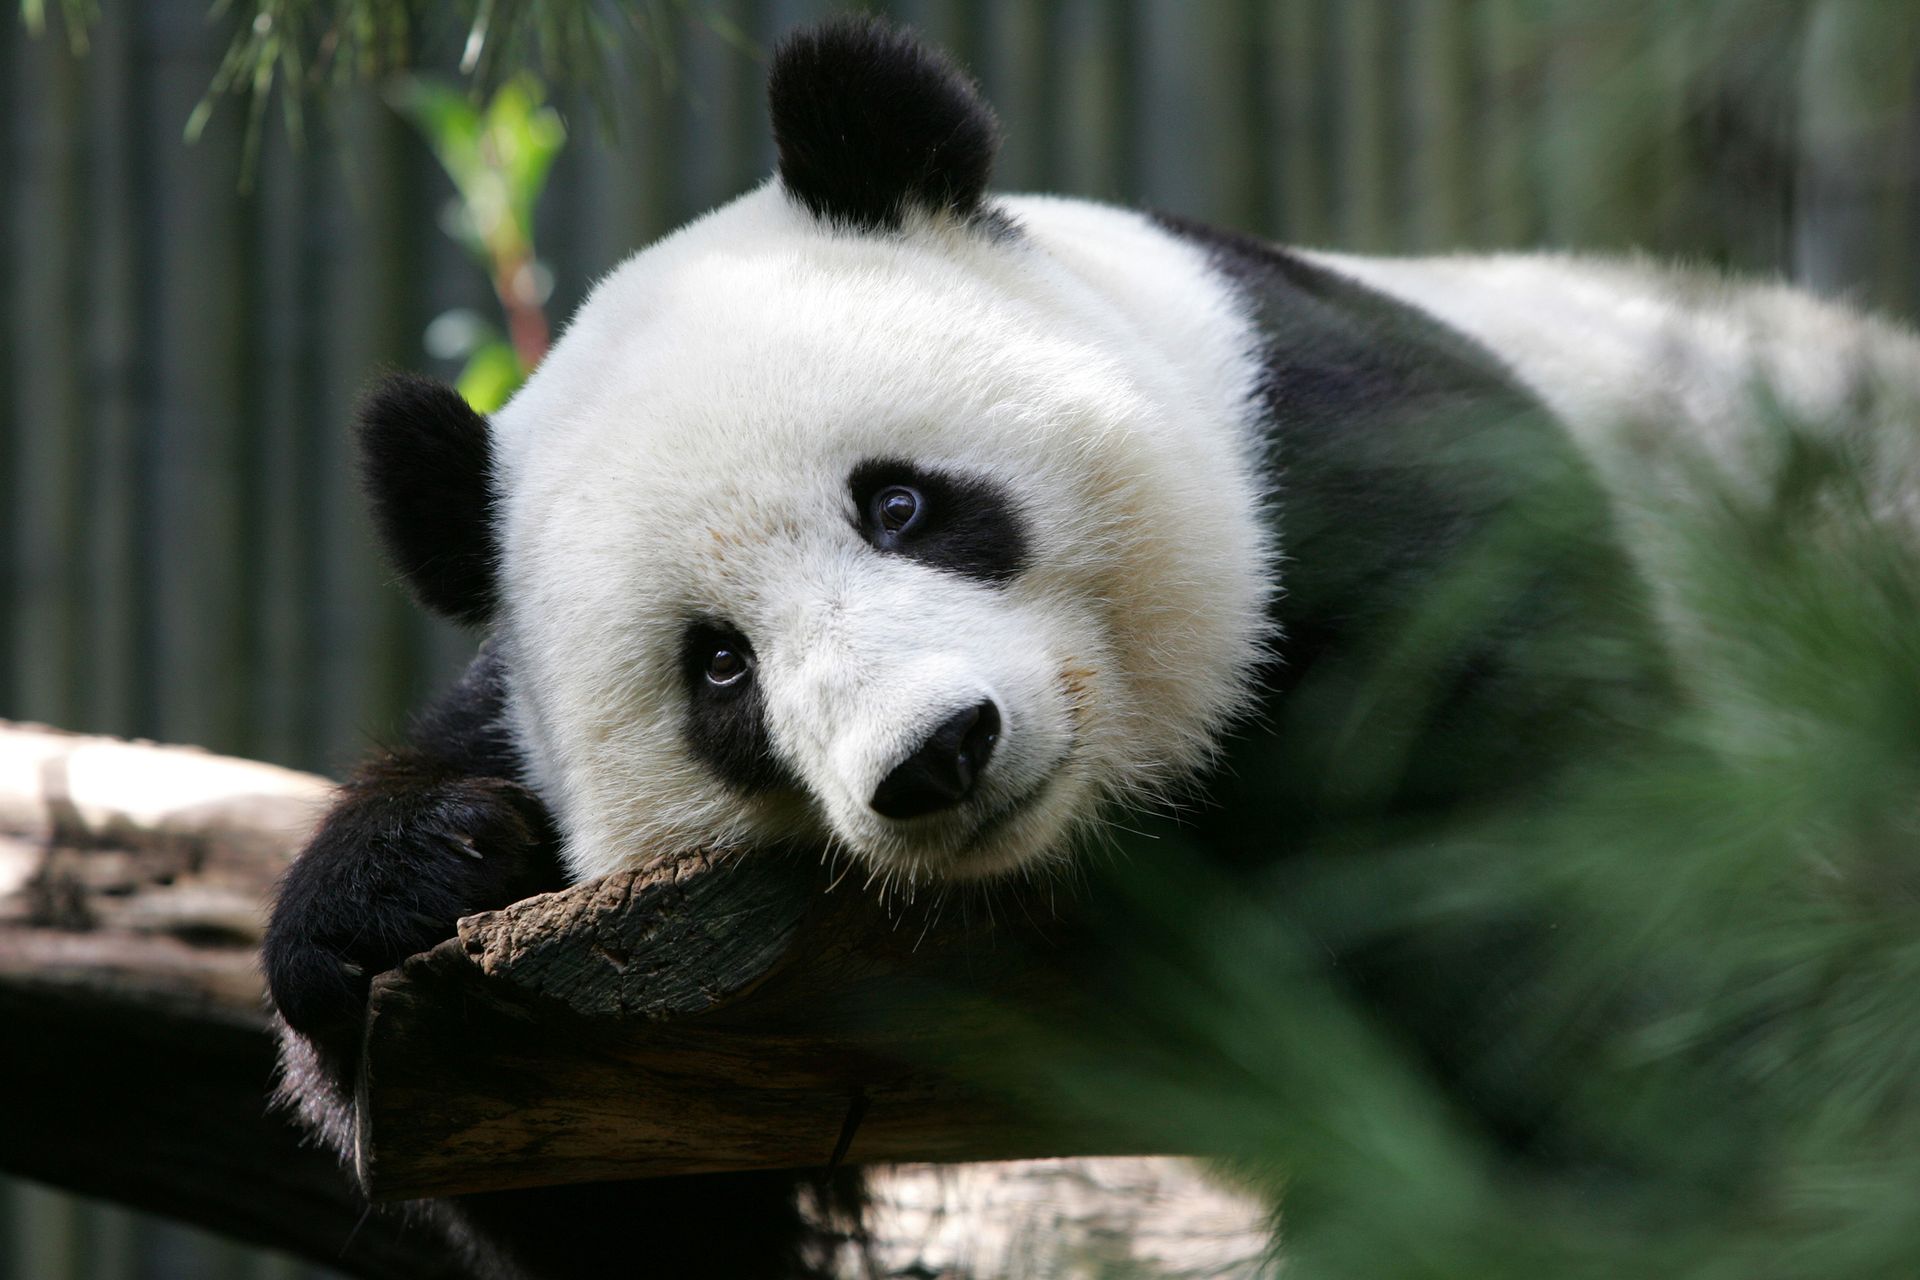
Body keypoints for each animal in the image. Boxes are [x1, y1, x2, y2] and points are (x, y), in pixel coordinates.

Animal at [263, 15, 1920, 1280]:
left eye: (903, 502)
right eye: (718, 666)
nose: (938, 757)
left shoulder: (1400, 528)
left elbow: (1587, 939)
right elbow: (610, 1151)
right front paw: (405, 887)